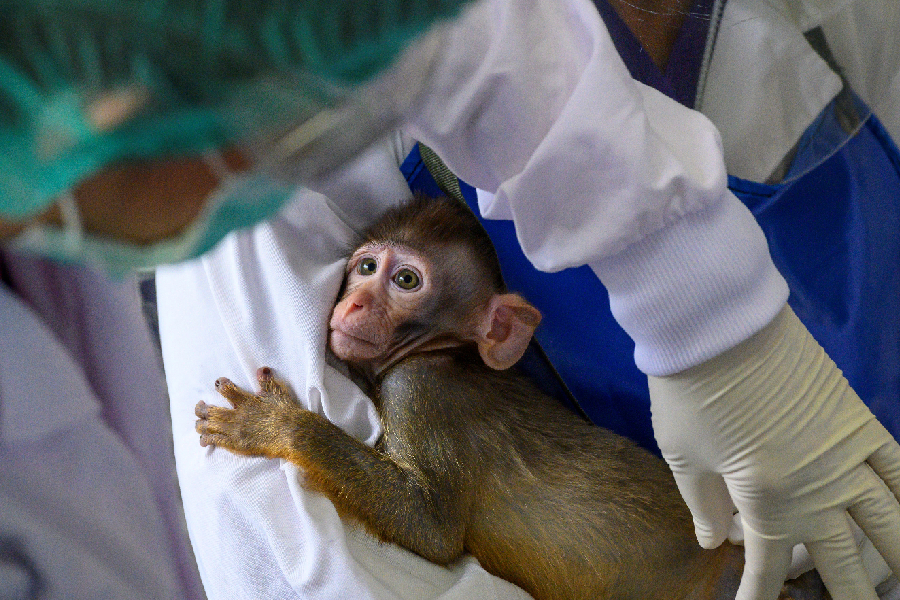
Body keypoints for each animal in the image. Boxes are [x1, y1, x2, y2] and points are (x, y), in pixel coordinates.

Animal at [194, 194, 828, 600]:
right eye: (366, 266)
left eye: (405, 281)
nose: (352, 303)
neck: (445, 353)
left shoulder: (418, 391)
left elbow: (431, 528)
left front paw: (275, 426)